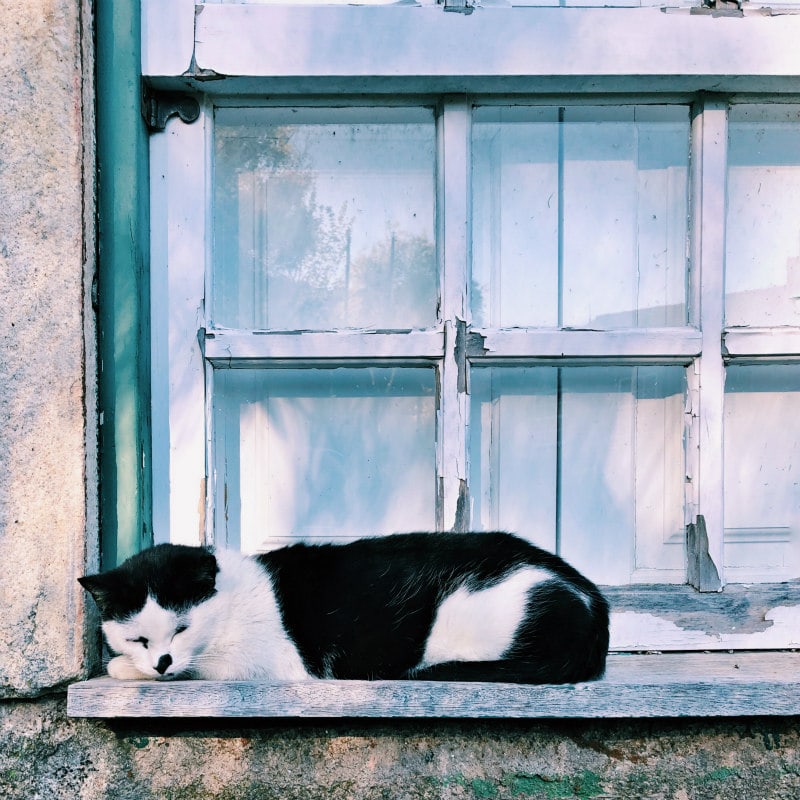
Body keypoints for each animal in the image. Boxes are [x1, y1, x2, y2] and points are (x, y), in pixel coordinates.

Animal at [78, 536, 608, 684]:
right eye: (139, 636)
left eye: (182, 629)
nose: (161, 662)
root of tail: (592, 598)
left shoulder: (273, 663)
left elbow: (198, 668)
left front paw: (122, 668)